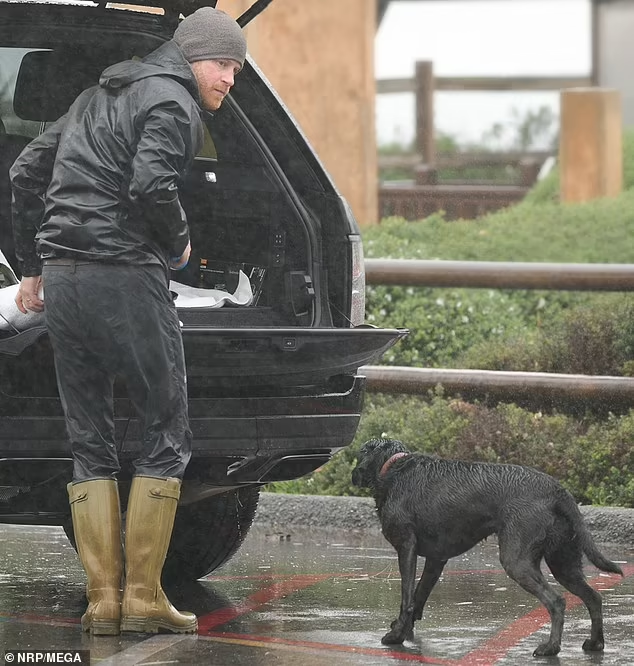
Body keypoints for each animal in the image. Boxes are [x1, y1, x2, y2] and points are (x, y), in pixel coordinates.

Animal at [350, 436, 624, 652]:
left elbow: (406, 597)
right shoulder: (436, 559)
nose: (353, 474)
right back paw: (595, 643)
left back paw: (550, 648)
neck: (394, 467)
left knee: (556, 601)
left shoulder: (406, 548)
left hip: (517, 561)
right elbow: (418, 597)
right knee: (593, 597)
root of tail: (558, 490)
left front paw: (396, 636)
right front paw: (404, 631)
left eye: (360, 453)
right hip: (564, 563)